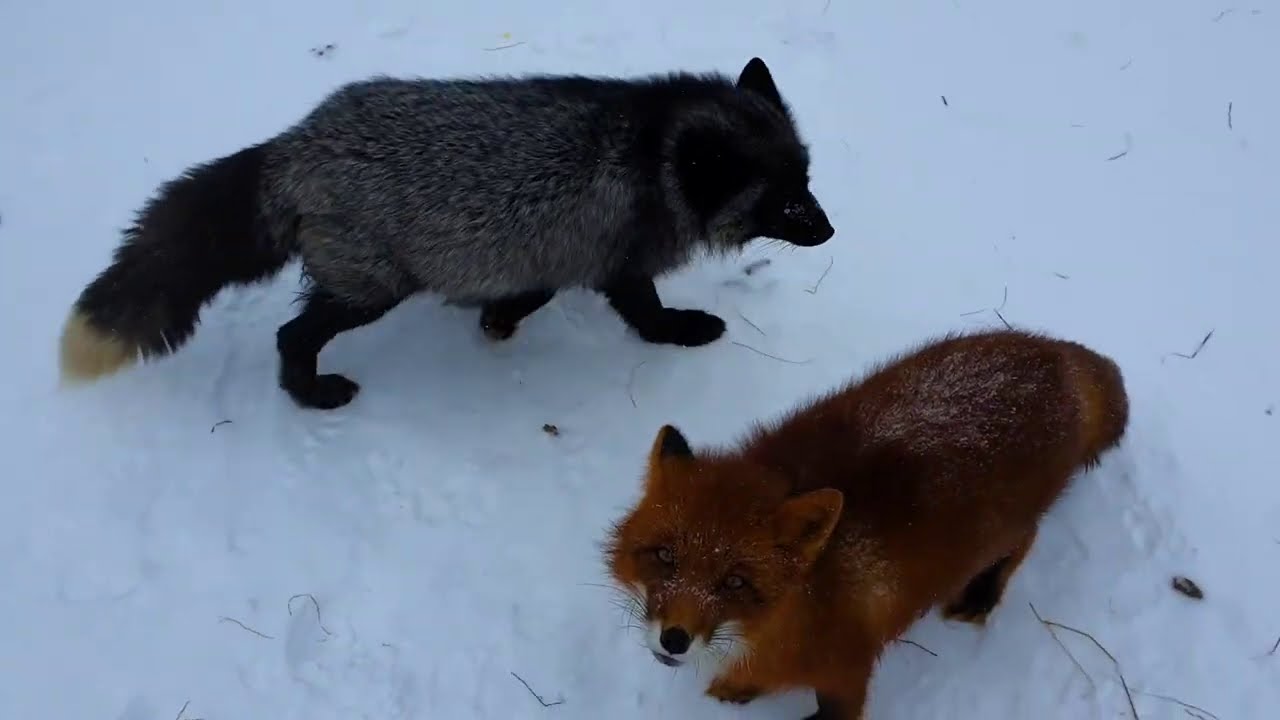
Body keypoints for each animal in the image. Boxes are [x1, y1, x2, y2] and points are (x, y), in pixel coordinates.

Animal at [57, 57, 834, 410]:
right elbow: (642, 313)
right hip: (370, 290)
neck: (651, 152)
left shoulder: (568, 255)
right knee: (290, 336)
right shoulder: (612, 261)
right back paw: (311, 395)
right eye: (782, 202)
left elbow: (534, 294)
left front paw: (496, 319)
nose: (829, 230)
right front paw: (677, 330)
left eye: (806, 179)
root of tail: (297, 144)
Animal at [603, 328, 1130, 719]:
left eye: (734, 581)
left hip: (1008, 526)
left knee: (1024, 540)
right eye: (665, 556)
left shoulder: (848, 672)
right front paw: (740, 686)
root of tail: (1056, 353)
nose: (674, 639)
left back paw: (980, 594)